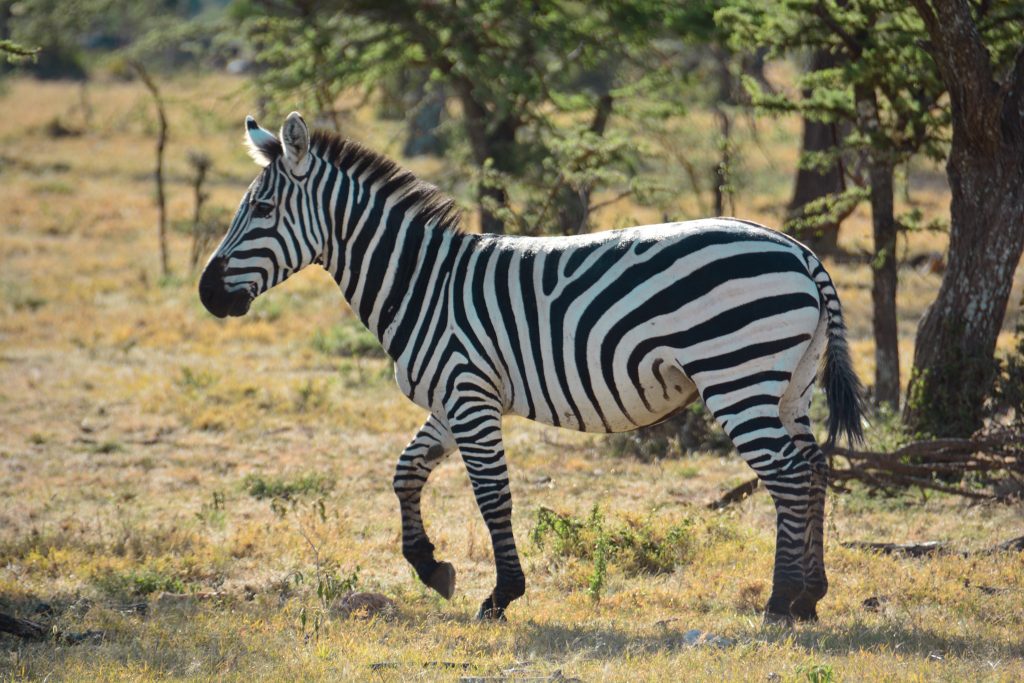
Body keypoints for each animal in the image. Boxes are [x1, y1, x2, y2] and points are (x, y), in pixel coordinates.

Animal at [197, 113, 864, 626]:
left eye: (261, 209)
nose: (206, 294)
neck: (422, 283)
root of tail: (800, 251)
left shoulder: (468, 394)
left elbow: (492, 496)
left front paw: (500, 596)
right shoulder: (452, 398)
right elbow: (406, 472)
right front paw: (432, 568)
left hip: (736, 375)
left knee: (786, 475)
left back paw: (781, 601)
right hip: (791, 384)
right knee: (814, 467)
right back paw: (812, 597)